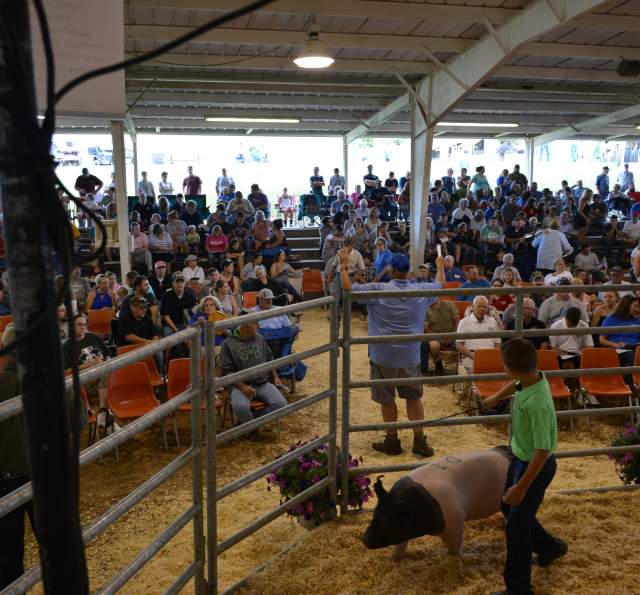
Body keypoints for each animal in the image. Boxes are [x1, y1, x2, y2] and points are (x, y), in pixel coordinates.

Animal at [362, 448, 512, 560]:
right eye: (376, 513)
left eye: (390, 518)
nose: (364, 539)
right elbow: (401, 545)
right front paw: (393, 559)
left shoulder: (455, 521)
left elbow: (454, 550)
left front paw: (457, 560)